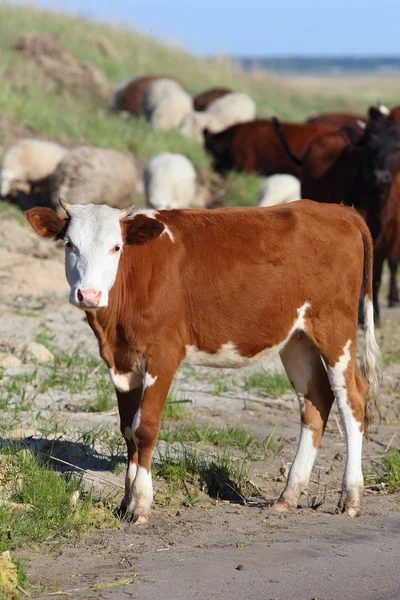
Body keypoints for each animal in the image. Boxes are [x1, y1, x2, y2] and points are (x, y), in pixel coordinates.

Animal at [26, 200, 380, 520]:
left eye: (116, 247)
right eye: (69, 244)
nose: (89, 295)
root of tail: (337, 210)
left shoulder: (163, 355)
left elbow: (145, 428)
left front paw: (140, 504)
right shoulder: (122, 362)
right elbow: (127, 430)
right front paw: (125, 502)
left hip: (335, 328)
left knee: (352, 399)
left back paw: (351, 497)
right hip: (296, 338)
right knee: (315, 400)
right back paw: (288, 496)